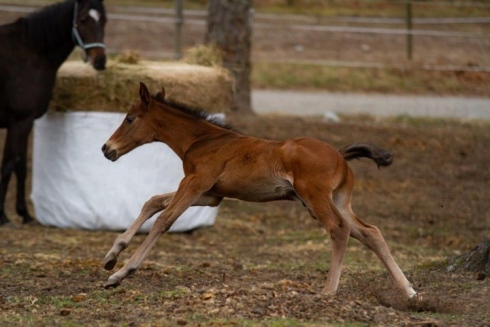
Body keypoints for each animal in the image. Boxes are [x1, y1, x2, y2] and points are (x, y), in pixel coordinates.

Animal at [0, 0, 106, 226]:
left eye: (103, 20)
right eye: (83, 19)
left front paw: (24, 214)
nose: (100, 61)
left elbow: (20, 168)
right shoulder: (19, 122)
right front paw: (2, 216)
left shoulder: (26, 122)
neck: (31, 52)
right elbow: (8, 166)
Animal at [101, 82, 416, 300]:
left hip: (316, 198)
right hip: (338, 200)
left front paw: (121, 273)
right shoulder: (211, 195)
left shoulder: (195, 183)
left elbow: (164, 219)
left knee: (340, 230)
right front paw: (111, 255)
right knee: (370, 232)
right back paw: (408, 290)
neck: (203, 140)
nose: (106, 149)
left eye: (130, 118)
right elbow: (153, 202)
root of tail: (340, 155)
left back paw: (328, 291)